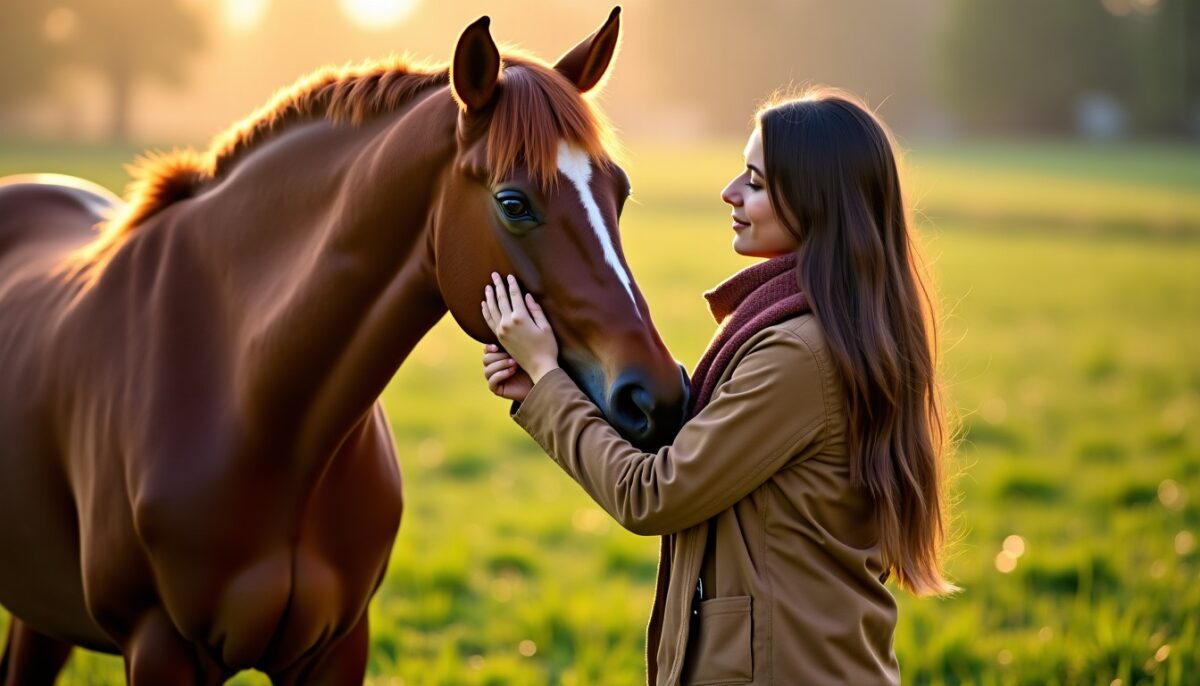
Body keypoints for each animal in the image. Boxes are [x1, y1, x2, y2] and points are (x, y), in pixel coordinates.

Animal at [0, 8, 687, 684]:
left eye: (620, 192)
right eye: (513, 202)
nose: (657, 396)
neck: (252, 405)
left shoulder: (337, 645)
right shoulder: (160, 647)